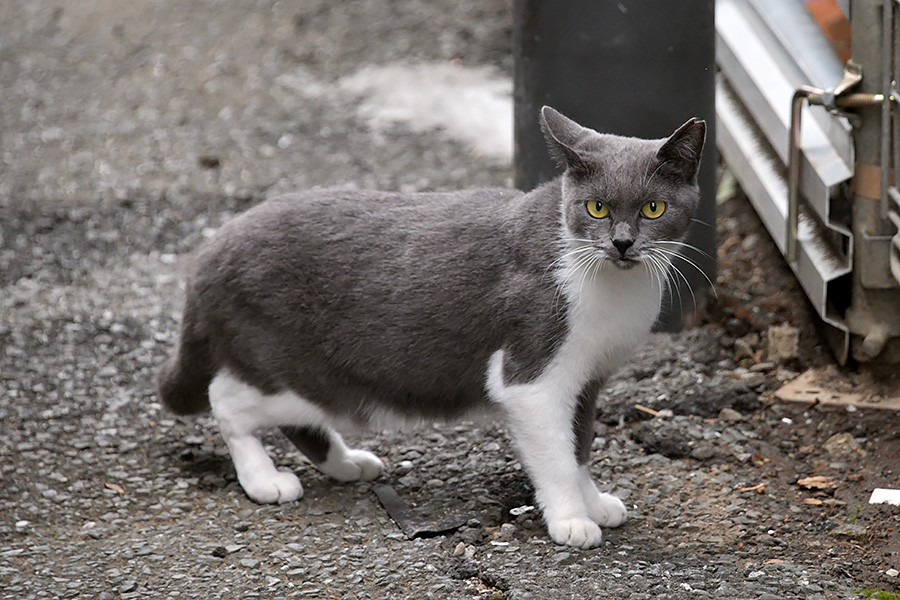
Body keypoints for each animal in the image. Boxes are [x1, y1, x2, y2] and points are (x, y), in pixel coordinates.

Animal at [156, 106, 704, 548]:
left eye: (653, 207)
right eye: (596, 207)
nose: (622, 243)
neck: (616, 288)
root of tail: (209, 253)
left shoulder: (588, 379)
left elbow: (580, 447)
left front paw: (593, 502)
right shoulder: (534, 374)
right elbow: (557, 454)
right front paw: (571, 521)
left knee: (292, 416)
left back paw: (346, 463)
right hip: (289, 363)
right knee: (228, 399)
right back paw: (264, 480)